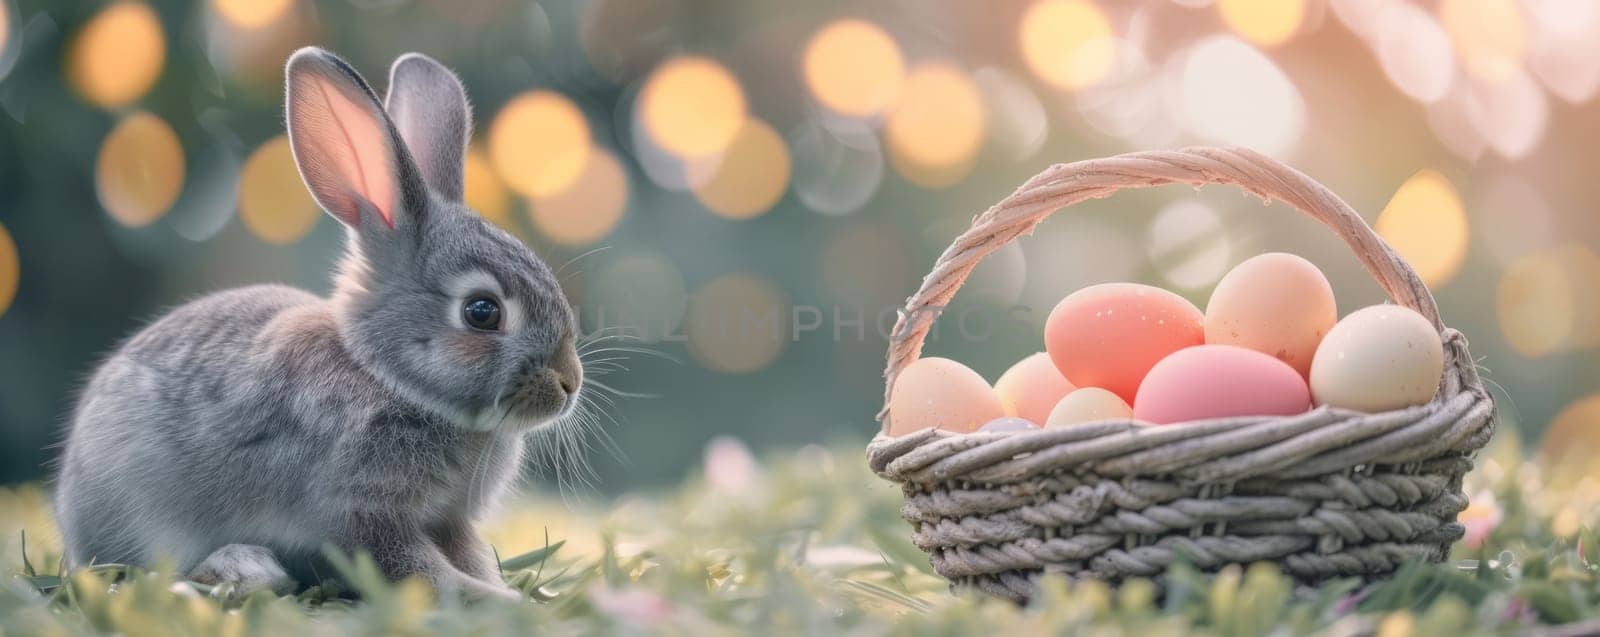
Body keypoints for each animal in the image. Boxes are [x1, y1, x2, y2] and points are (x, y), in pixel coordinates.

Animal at [53, 47, 585, 598]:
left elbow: (468, 558)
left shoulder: (447, 520)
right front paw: (499, 601)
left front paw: (504, 592)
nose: (569, 383)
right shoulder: (354, 516)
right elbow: (423, 573)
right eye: (482, 311)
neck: (384, 376)